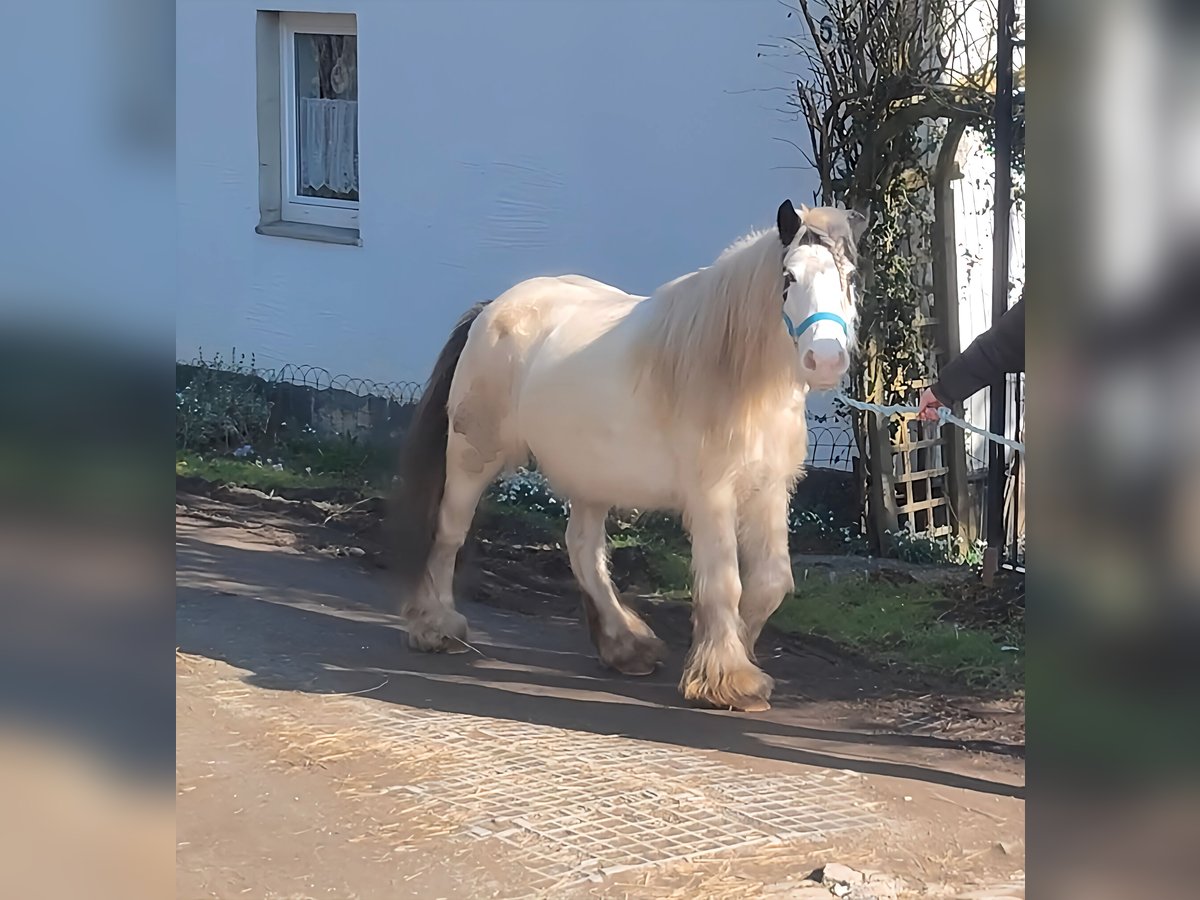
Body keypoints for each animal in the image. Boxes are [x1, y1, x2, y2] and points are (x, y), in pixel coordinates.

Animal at [391, 202, 864, 710]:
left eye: (850, 277)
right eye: (789, 277)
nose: (825, 359)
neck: (734, 371)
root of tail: (492, 309)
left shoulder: (769, 491)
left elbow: (771, 583)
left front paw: (727, 658)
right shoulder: (712, 495)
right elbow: (725, 583)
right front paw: (728, 678)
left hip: (590, 476)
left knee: (582, 550)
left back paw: (625, 645)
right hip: (471, 458)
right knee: (449, 535)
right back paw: (437, 628)